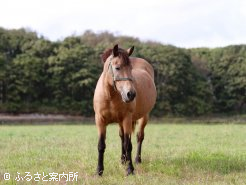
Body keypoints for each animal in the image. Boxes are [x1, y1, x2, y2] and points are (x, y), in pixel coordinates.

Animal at [93, 44, 157, 176]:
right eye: (117, 67)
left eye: (131, 68)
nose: (131, 94)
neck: (110, 96)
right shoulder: (100, 120)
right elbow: (101, 145)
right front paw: (99, 171)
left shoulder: (127, 119)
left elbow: (128, 145)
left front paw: (130, 169)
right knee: (122, 137)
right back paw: (123, 160)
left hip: (144, 116)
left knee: (139, 137)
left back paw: (137, 159)